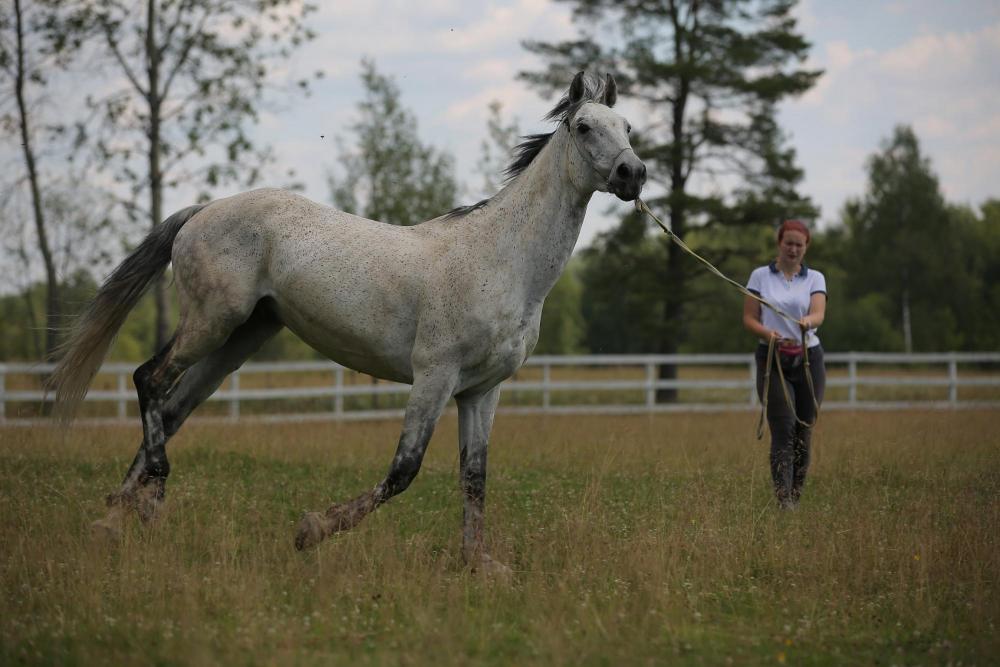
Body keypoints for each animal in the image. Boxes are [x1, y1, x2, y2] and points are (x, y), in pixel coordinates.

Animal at [49, 71, 646, 575]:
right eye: (585, 127)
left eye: (629, 127)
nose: (633, 174)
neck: (501, 259)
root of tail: (201, 211)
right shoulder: (435, 376)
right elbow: (404, 470)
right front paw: (311, 530)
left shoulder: (481, 390)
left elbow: (474, 478)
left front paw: (479, 566)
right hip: (212, 322)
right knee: (148, 380)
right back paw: (152, 500)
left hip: (237, 340)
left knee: (171, 409)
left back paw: (115, 520)